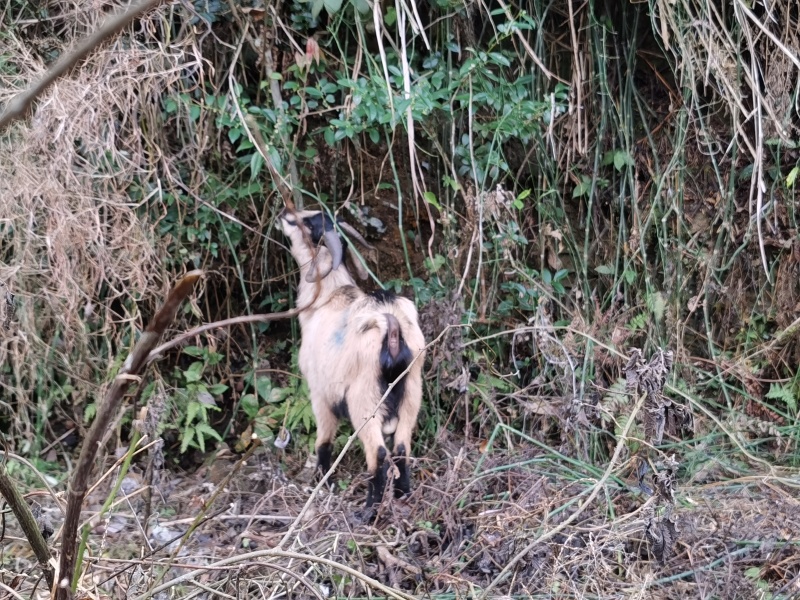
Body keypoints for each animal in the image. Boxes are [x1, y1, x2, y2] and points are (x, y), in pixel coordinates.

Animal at [278, 206, 424, 506]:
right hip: (412, 392)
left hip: (364, 400)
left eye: (309, 224)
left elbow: (323, 440)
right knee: (401, 446)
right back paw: (402, 495)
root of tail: (392, 328)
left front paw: (323, 481)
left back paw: (370, 508)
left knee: (378, 453)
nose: (284, 213)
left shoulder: (320, 392)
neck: (328, 296)